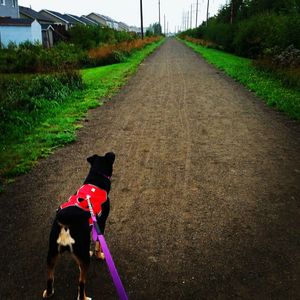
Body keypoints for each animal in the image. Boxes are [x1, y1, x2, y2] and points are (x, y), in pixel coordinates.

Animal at [42, 152, 115, 300]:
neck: (96, 180)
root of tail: (65, 224)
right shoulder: (101, 223)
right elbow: (99, 243)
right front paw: (100, 255)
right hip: (83, 259)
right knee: (81, 284)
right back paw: (84, 297)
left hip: (51, 254)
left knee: (49, 278)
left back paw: (48, 292)